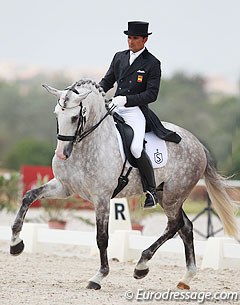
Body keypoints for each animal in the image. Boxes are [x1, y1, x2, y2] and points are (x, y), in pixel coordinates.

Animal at [10, 78, 239, 290]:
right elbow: (28, 197)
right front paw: (15, 244)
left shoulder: (101, 198)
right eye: (57, 114)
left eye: (75, 117)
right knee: (186, 227)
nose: (62, 154)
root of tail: (197, 143)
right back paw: (185, 278)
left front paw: (98, 277)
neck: (87, 145)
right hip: (165, 195)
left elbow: (102, 237)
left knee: (175, 225)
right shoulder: (63, 187)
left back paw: (142, 266)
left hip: (173, 195)